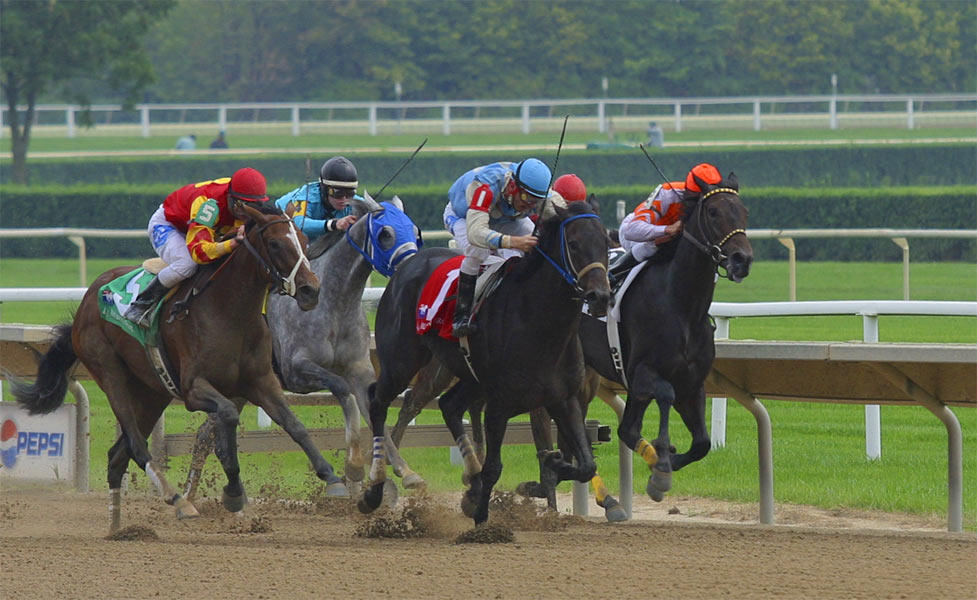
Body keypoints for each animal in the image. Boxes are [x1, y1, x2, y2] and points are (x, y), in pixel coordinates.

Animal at [9, 202, 346, 536]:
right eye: (275, 243)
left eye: (304, 241)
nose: (310, 290)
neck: (231, 312)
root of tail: (89, 298)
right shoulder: (194, 389)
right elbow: (227, 417)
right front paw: (233, 492)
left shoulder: (261, 382)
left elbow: (294, 425)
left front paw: (332, 478)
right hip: (110, 374)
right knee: (137, 446)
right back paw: (178, 501)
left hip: (151, 393)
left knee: (118, 456)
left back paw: (117, 528)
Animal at [182, 195, 424, 500]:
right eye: (386, 234)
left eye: (415, 231)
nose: (413, 267)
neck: (334, 304)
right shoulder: (296, 370)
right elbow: (342, 389)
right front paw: (354, 465)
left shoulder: (360, 370)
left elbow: (373, 410)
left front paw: (406, 471)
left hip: (239, 388)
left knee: (204, 434)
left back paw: (192, 494)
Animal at [354, 202, 612, 524]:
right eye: (574, 244)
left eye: (606, 242)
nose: (600, 296)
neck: (539, 324)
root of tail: (410, 261)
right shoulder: (499, 405)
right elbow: (494, 467)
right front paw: (482, 519)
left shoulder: (563, 398)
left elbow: (586, 464)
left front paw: (552, 466)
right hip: (402, 361)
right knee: (378, 401)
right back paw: (375, 490)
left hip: (467, 376)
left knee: (449, 405)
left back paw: (470, 481)